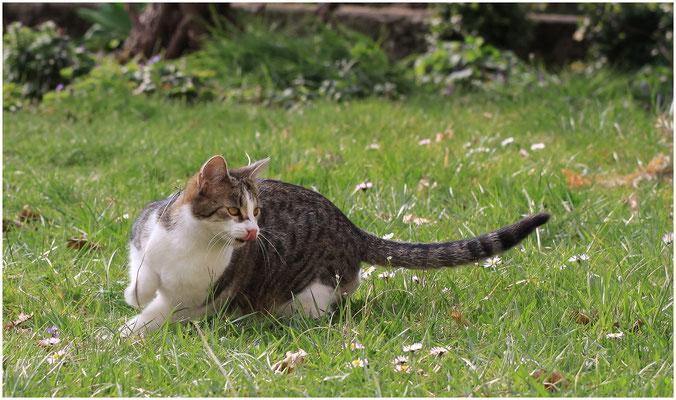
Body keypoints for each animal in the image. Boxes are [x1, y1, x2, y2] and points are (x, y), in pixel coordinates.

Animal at [120, 155, 548, 336]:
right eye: (233, 210)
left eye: (257, 212)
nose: (255, 232)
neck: (192, 241)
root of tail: (351, 228)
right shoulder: (146, 235)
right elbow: (144, 270)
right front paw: (137, 294)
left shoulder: (204, 296)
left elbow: (161, 311)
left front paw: (126, 332)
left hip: (315, 286)